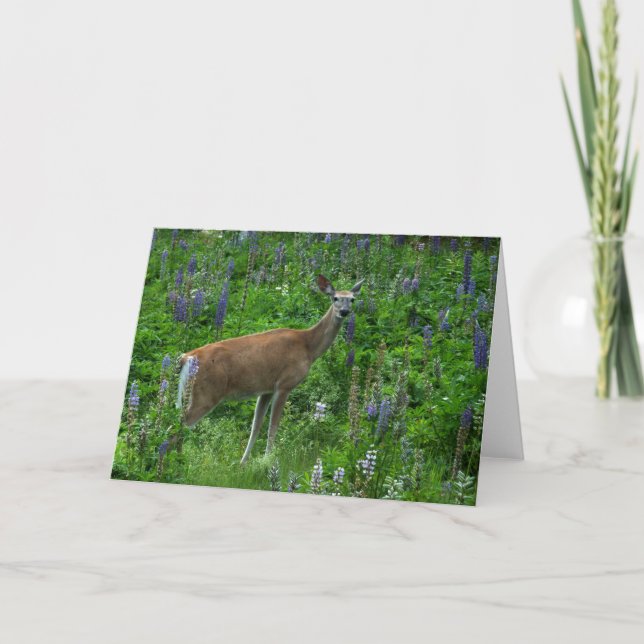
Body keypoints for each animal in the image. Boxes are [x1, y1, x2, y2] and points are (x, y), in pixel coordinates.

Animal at [176, 274, 364, 464]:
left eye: (352, 299)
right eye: (335, 298)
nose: (344, 312)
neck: (308, 347)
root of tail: (187, 358)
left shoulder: (265, 389)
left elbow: (256, 426)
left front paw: (243, 462)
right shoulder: (284, 384)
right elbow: (273, 426)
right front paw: (268, 460)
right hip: (206, 393)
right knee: (180, 425)